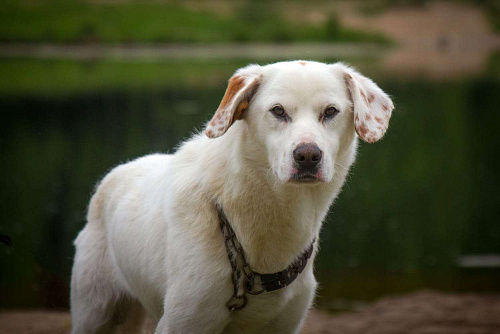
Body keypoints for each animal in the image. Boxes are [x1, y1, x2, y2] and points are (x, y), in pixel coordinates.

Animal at [70, 60, 392, 334]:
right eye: (278, 111)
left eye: (330, 111)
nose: (308, 156)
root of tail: (116, 172)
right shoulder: (182, 321)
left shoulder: (285, 324)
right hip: (93, 312)